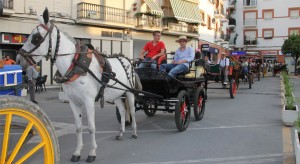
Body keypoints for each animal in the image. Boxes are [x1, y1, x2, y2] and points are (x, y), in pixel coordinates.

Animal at [18, 8, 140, 163]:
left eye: (36, 38)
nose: (18, 59)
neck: (76, 65)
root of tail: (128, 60)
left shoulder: (88, 101)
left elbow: (91, 128)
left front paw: (92, 153)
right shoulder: (74, 102)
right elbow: (78, 127)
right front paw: (77, 152)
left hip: (129, 92)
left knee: (132, 111)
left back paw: (134, 132)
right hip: (116, 95)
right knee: (123, 111)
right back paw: (121, 133)